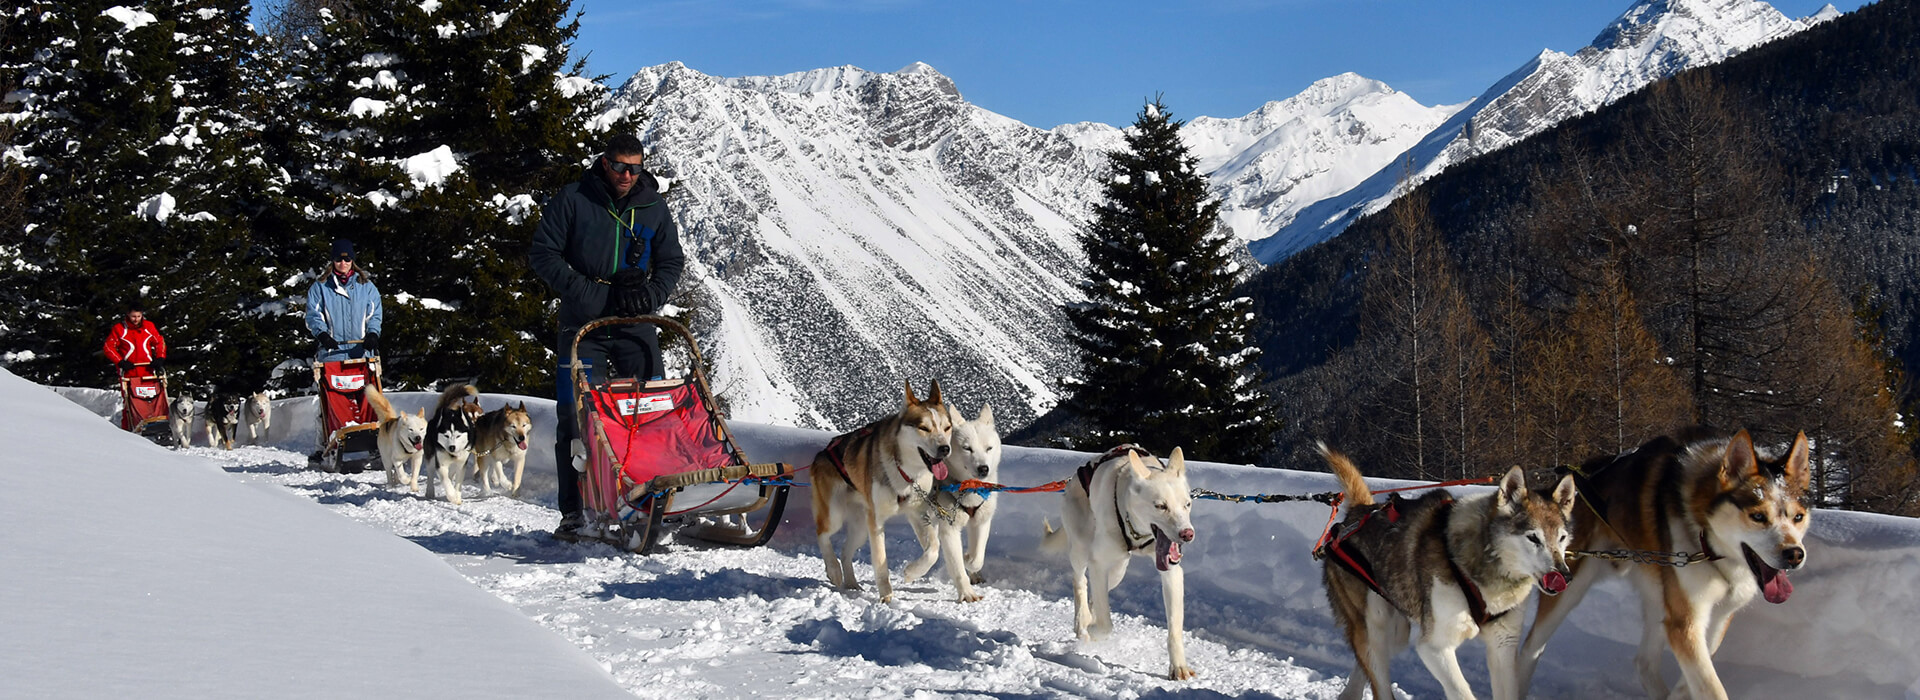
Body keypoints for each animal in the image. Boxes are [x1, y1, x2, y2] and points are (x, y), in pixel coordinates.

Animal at [806, 379, 948, 602]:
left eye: (947, 427)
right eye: (924, 428)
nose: (945, 448)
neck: (905, 472)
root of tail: (822, 453)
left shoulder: (917, 512)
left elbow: (933, 550)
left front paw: (912, 572)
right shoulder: (877, 521)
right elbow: (881, 561)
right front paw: (886, 596)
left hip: (861, 527)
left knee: (845, 552)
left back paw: (851, 583)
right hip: (836, 514)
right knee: (822, 534)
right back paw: (834, 570)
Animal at [902, 400, 1006, 602]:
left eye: (989, 448)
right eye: (967, 448)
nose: (984, 468)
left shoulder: (981, 521)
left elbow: (977, 557)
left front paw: (969, 560)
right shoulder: (949, 529)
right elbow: (957, 565)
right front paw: (967, 593)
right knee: (931, 548)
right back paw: (914, 570)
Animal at [1044, 444, 1190, 678]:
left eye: (1187, 504)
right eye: (1160, 506)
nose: (1188, 534)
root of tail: (1072, 479)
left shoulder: (1172, 573)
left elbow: (1175, 630)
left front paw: (1178, 667)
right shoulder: (1098, 563)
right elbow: (1105, 624)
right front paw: (1093, 630)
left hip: (1119, 569)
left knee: (1097, 593)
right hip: (1081, 547)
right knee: (1080, 582)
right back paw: (1082, 620)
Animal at [1320, 441, 1574, 698]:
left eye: (1562, 538)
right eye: (1533, 537)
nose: (1564, 575)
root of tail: (1360, 511)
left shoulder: (1503, 644)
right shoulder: (1435, 646)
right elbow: (1461, 691)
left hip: (1395, 629)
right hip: (1375, 622)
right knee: (1379, 680)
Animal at [1520, 425, 1804, 698]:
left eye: (1798, 517)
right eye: (1758, 516)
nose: (1794, 554)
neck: (1707, 540)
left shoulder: (1717, 618)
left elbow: (1695, 676)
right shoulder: (1685, 620)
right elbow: (1710, 686)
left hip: (1658, 593)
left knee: (1644, 661)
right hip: (1568, 588)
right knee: (1529, 650)